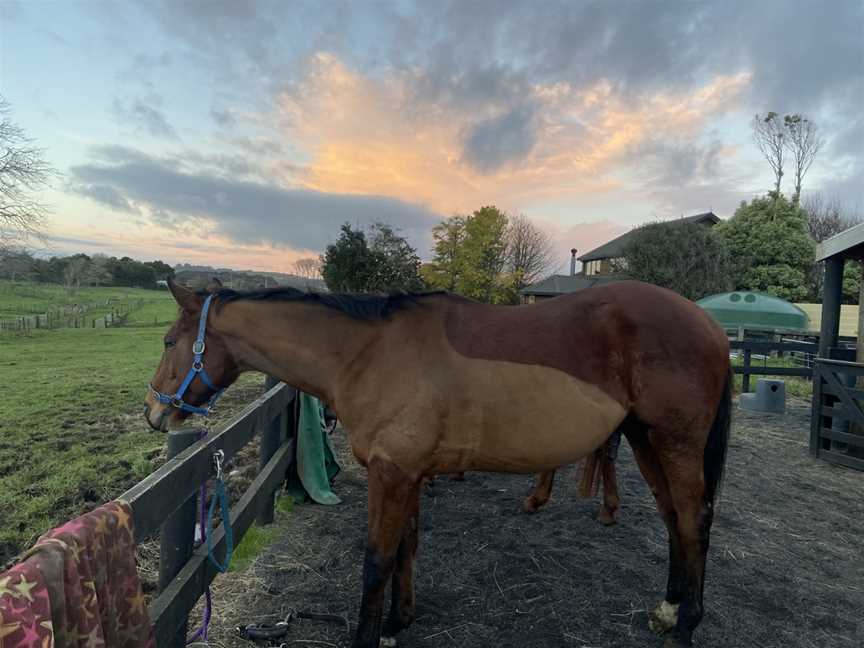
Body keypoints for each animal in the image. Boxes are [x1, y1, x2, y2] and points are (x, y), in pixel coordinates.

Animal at [147, 280, 728, 648]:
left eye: (169, 339)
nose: (155, 413)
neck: (368, 354)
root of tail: (710, 324)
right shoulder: (408, 474)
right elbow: (407, 546)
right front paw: (397, 622)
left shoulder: (391, 475)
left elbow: (377, 559)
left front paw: (368, 636)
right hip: (646, 439)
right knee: (673, 518)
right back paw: (669, 608)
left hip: (674, 442)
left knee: (693, 521)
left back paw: (687, 625)